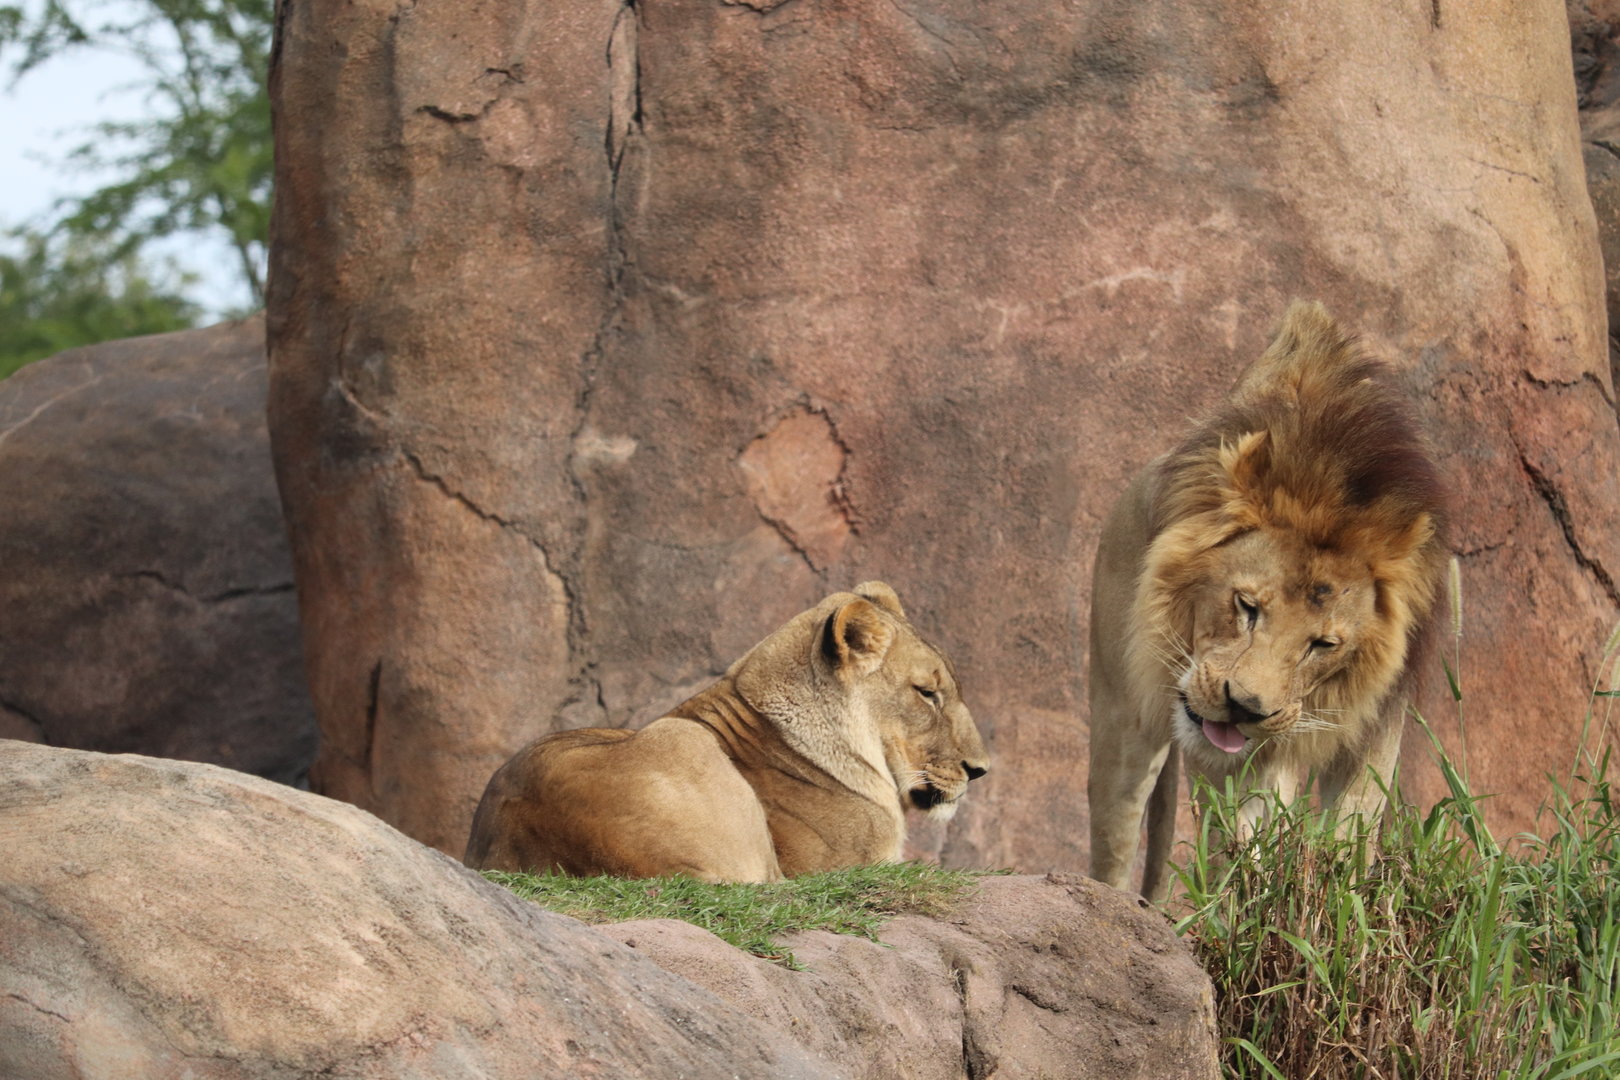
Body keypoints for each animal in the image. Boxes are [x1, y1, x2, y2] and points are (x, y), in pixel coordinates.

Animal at [1087, 300, 1448, 899]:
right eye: (1246, 606)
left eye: (1323, 644)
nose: (1244, 707)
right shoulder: (1220, 744)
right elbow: (1237, 841)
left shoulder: (1377, 717)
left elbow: (1353, 826)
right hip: (1122, 710)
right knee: (1115, 834)